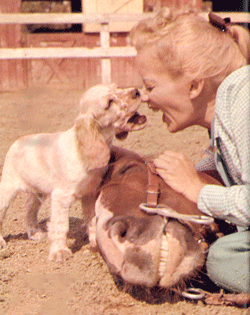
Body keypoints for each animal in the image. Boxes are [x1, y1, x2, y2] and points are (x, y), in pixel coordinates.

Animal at [0, 84, 146, 262]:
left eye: (116, 87)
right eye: (109, 102)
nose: (137, 91)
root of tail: (18, 140)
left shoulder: (90, 194)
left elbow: (92, 220)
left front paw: (95, 244)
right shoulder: (61, 197)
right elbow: (61, 225)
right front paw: (59, 252)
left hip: (38, 192)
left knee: (29, 208)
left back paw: (34, 233)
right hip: (7, 189)